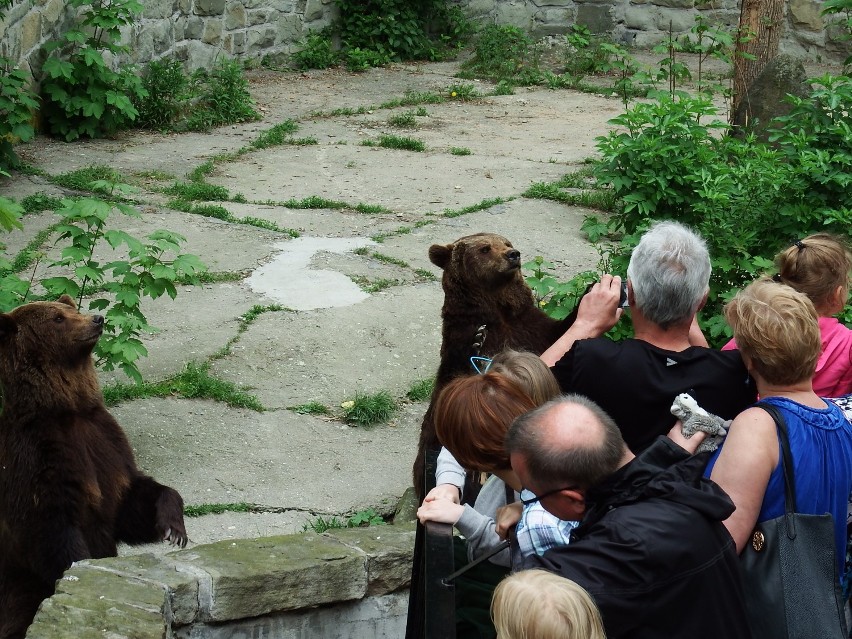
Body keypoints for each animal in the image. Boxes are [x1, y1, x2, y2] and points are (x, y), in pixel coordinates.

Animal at [0, 296, 187, 639]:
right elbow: (52, 529)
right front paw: (83, 572)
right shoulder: (38, 457)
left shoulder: (105, 444)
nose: (97, 319)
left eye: (72, 308)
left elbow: (130, 500)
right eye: (58, 318)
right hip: (17, 588)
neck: (69, 408)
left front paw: (173, 528)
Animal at [412, 232, 580, 502]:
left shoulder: (529, 326)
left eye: (506, 243)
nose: (513, 254)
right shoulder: (462, 341)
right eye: (485, 248)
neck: (498, 311)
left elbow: (559, 332)